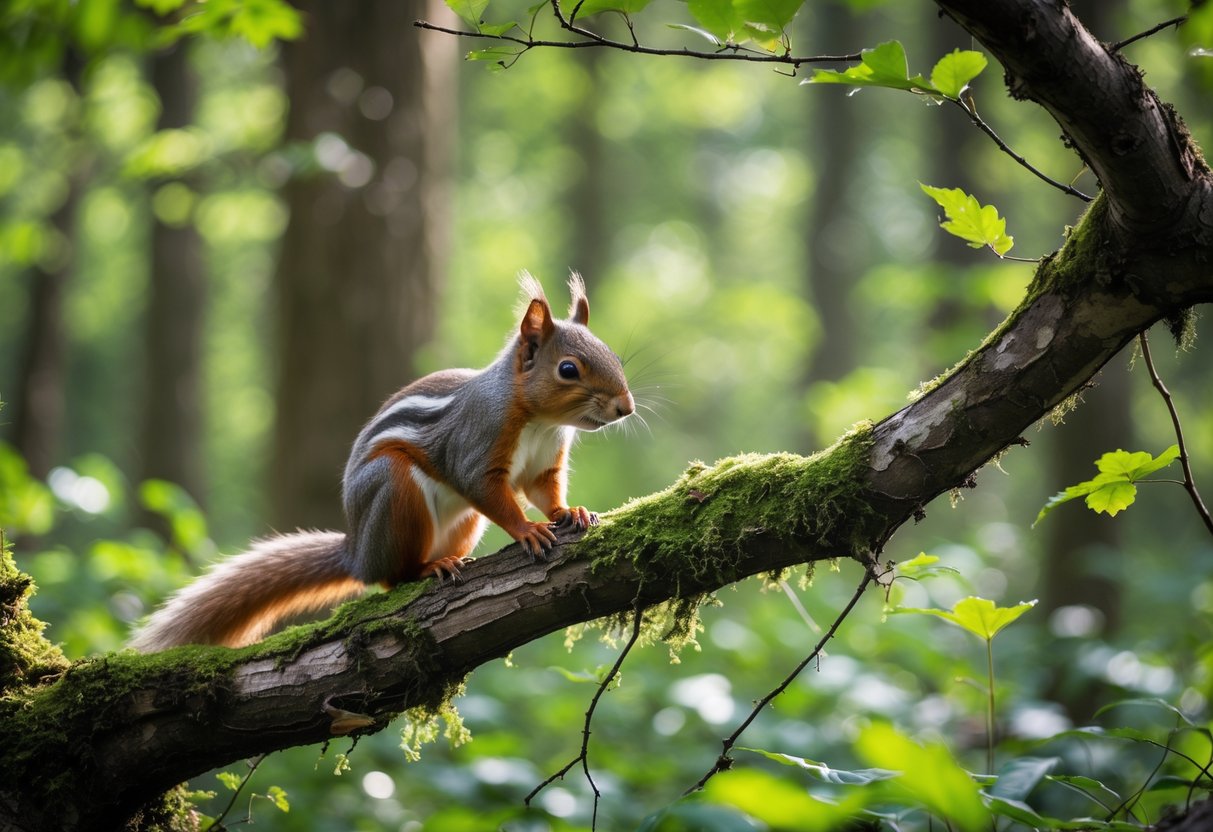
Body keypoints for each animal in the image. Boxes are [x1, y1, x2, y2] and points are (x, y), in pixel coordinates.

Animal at [130, 274, 634, 651]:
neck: (540, 422)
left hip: (461, 522)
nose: (625, 407)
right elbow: (489, 490)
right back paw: (425, 570)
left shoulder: (544, 463)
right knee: (391, 578)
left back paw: (449, 559)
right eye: (568, 369)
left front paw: (570, 512)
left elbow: (543, 490)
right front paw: (528, 530)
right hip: (394, 490)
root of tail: (358, 550)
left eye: (614, 354)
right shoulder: (475, 445)